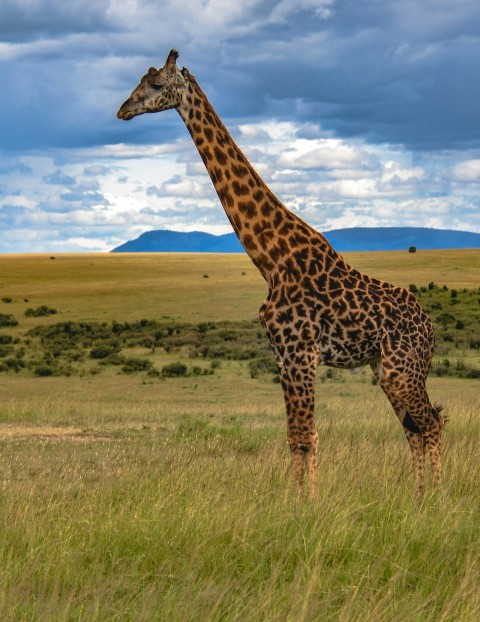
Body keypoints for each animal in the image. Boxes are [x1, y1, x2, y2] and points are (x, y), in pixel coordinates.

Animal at [117, 50, 446, 502]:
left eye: (154, 85)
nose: (122, 110)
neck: (271, 259)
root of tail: (431, 328)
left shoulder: (300, 351)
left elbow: (307, 435)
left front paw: (311, 504)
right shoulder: (283, 355)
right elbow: (294, 436)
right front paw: (296, 502)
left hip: (402, 368)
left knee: (432, 424)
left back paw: (439, 498)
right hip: (387, 370)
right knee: (416, 428)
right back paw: (418, 497)